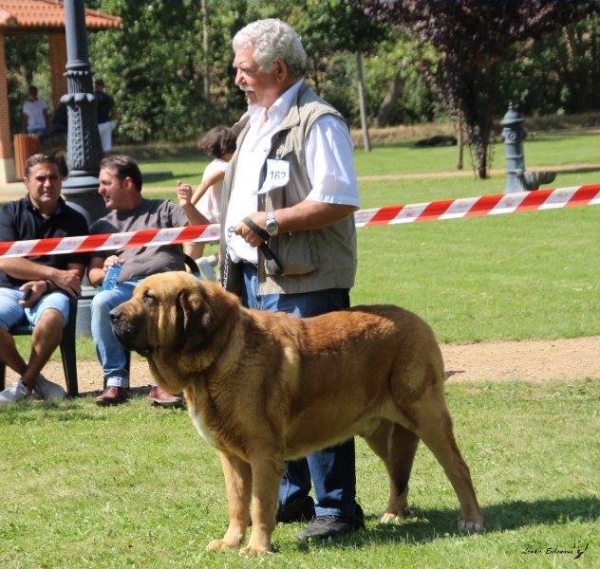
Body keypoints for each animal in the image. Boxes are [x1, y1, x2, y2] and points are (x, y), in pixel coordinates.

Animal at [109, 272, 482, 552]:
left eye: (150, 298)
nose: (112, 316)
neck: (218, 356)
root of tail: (417, 320)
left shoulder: (262, 454)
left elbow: (259, 505)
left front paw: (256, 549)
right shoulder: (232, 459)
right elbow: (237, 504)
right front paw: (230, 543)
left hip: (427, 416)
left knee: (458, 468)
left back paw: (472, 519)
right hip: (381, 432)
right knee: (398, 472)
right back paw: (394, 513)